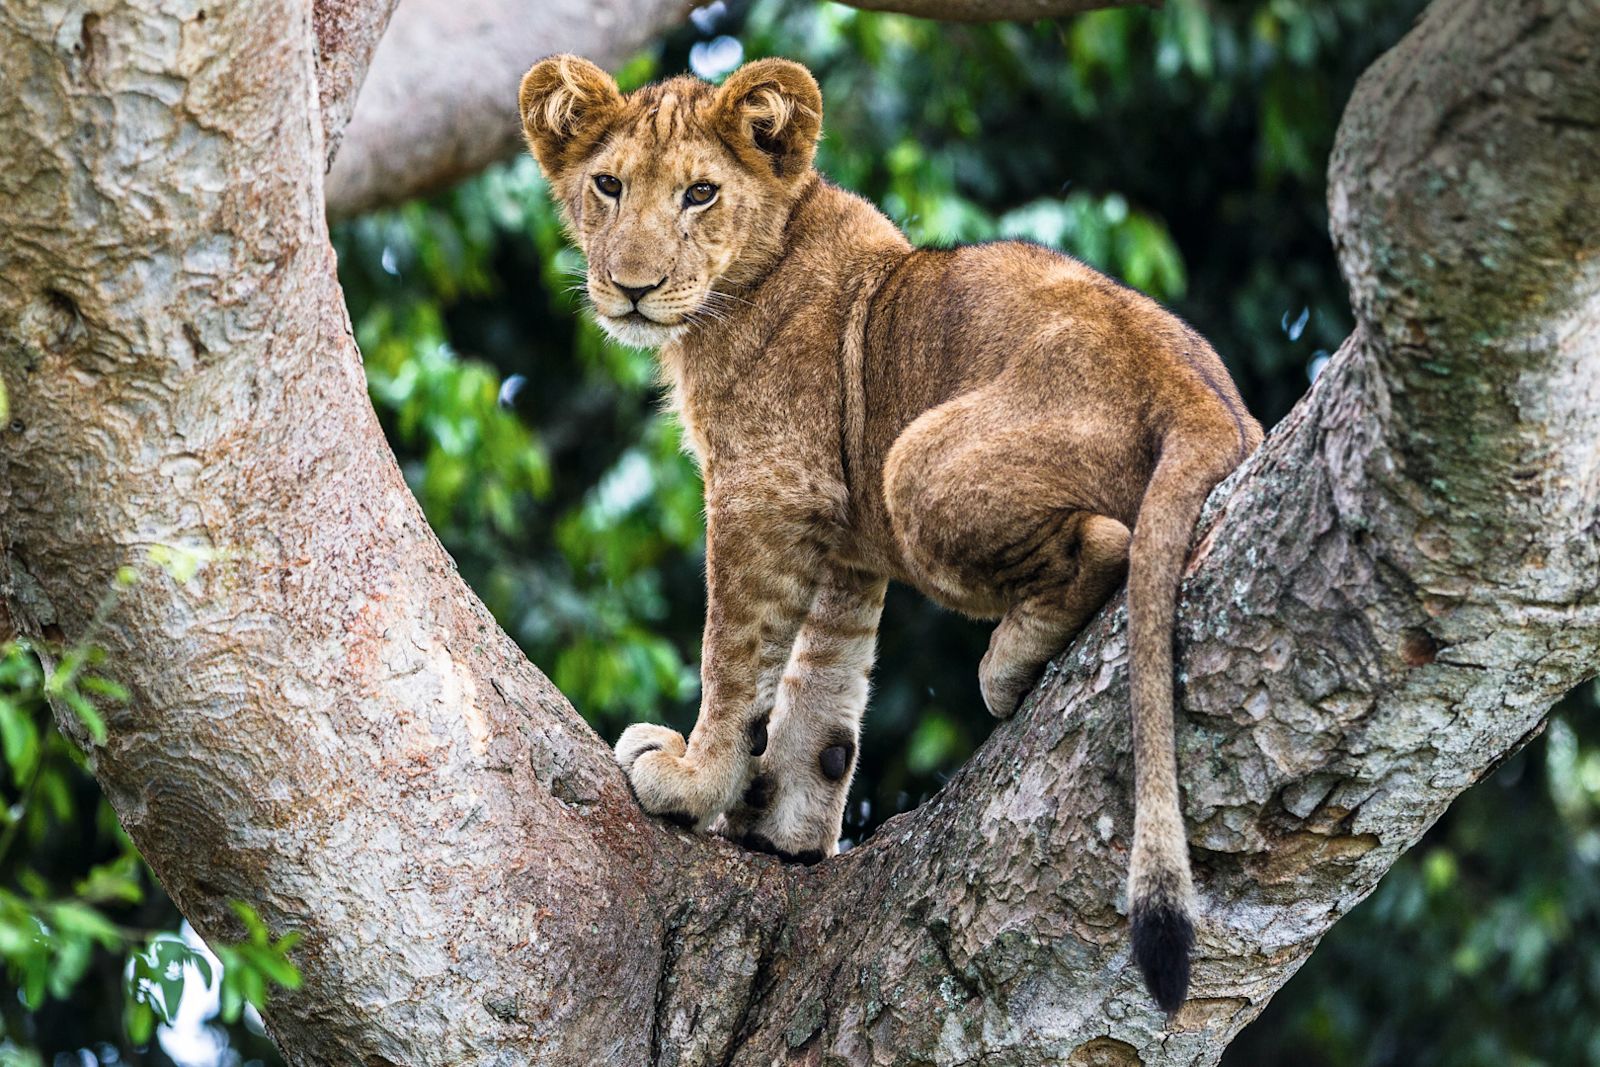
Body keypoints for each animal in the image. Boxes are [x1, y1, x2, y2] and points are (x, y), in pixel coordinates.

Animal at [517, 54, 1262, 1014]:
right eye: (607, 185)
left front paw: (692, 779)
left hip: (913, 462)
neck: (752, 271)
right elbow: (822, 686)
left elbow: (735, 656)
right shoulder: (841, 536)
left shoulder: (767, 491)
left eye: (699, 194)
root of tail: (1197, 392)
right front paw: (786, 828)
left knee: (1108, 543)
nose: (634, 287)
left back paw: (1009, 664)